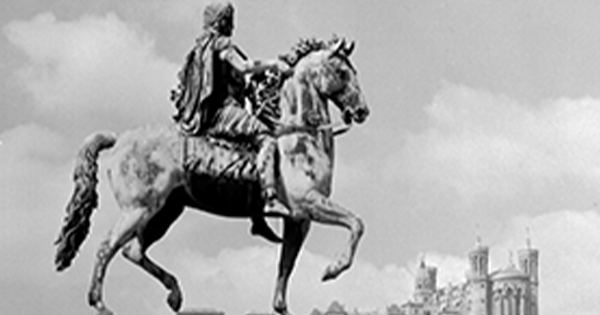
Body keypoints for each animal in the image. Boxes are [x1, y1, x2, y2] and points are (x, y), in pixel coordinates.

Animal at [54, 37, 368, 315]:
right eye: (342, 72)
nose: (362, 111)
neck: (298, 136)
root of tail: (119, 140)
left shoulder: (298, 219)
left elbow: (285, 266)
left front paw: (283, 305)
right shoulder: (308, 203)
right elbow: (356, 223)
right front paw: (333, 269)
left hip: (165, 212)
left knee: (133, 251)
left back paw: (175, 294)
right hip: (138, 210)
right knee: (107, 248)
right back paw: (100, 304)